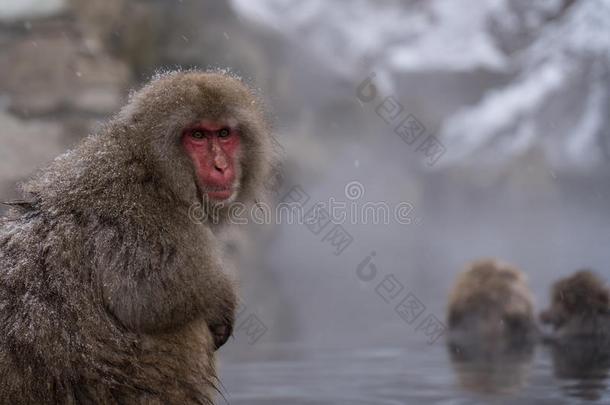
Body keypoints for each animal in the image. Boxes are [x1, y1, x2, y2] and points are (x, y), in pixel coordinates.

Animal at [0, 71, 276, 402]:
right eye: (197, 136)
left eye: (223, 134)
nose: (221, 166)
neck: (153, 166)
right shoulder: (141, 212)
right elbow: (146, 294)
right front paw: (221, 299)